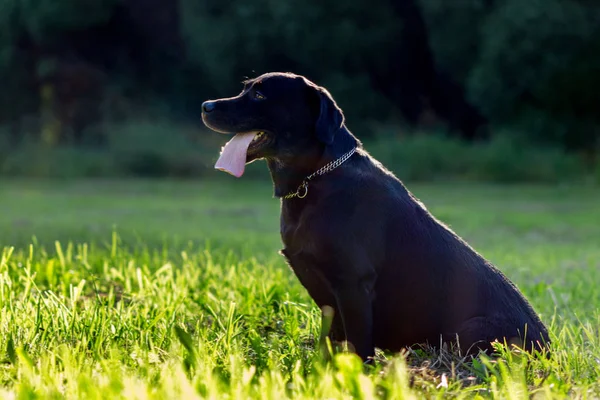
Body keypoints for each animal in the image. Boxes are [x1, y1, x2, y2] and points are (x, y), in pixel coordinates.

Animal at [202, 72, 548, 362]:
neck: (316, 179)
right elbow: (331, 339)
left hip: (470, 330)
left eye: (260, 95)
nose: (206, 105)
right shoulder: (326, 294)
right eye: (245, 88)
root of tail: (548, 347)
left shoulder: (353, 284)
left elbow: (358, 345)